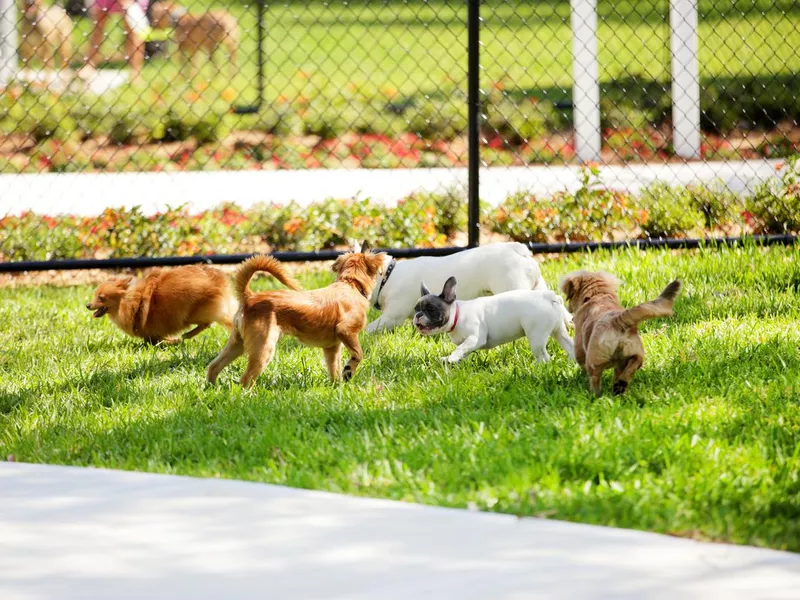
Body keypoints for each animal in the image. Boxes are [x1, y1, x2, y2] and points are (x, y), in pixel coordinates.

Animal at [89, 266, 238, 344]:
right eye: (95, 295)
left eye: (101, 298)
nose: (87, 305)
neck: (130, 302)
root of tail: (217, 279)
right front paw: (173, 340)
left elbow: (155, 339)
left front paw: (173, 341)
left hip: (191, 315)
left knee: (207, 323)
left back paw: (187, 335)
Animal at [206, 241, 388, 386]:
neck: (350, 284)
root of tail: (250, 297)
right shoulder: (346, 331)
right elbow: (358, 354)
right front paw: (349, 371)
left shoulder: (332, 348)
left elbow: (333, 368)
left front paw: (337, 387)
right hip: (263, 346)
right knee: (245, 380)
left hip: (237, 343)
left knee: (214, 366)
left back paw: (212, 388)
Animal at [412, 274, 576, 364]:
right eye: (415, 309)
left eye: (431, 309)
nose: (418, 315)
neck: (457, 315)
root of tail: (548, 296)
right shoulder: (469, 343)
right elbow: (464, 351)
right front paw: (455, 361)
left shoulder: (475, 338)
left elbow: (461, 348)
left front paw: (452, 358)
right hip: (558, 330)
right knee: (569, 345)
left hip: (536, 336)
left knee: (543, 356)